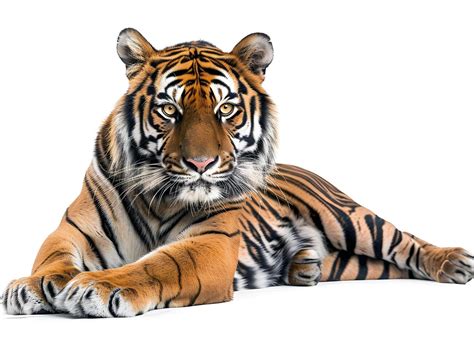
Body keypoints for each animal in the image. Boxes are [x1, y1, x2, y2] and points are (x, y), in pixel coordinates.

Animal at [1, 27, 472, 316]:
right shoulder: (71, 230)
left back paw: (453, 262)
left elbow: (155, 265)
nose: (200, 164)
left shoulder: (210, 243)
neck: (159, 194)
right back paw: (303, 267)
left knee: (404, 242)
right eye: (169, 110)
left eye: (225, 109)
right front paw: (34, 285)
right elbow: (52, 258)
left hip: (348, 217)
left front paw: (95, 287)